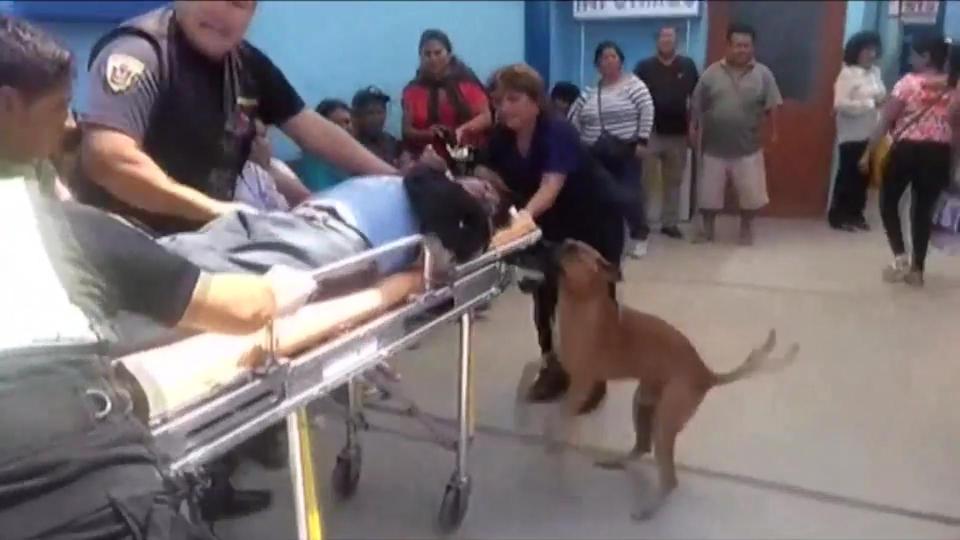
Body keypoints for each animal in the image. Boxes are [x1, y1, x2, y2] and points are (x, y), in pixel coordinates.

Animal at [552, 240, 800, 520]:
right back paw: (617, 462)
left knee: (670, 479)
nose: (563, 242)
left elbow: (563, 413)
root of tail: (706, 374)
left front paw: (555, 438)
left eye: (578, 251)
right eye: (571, 243)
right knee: (642, 447)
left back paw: (649, 509)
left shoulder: (582, 383)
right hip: (643, 403)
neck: (582, 300)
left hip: (664, 421)